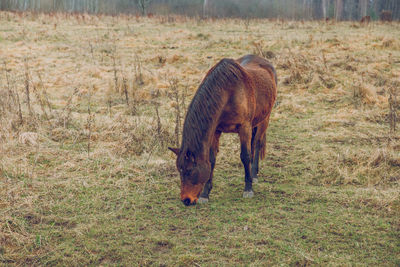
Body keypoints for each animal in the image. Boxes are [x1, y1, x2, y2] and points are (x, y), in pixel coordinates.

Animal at [167, 54, 276, 207]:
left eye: (189, 171)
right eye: (179, 170)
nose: (186, 200)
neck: (228, 93)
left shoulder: (244, 128)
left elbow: (245, 155)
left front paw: (248, 189)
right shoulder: (216, 131)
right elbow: (212, 159)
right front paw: (205, 194)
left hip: (264, 119)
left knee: (257, 143)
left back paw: (254, 175)